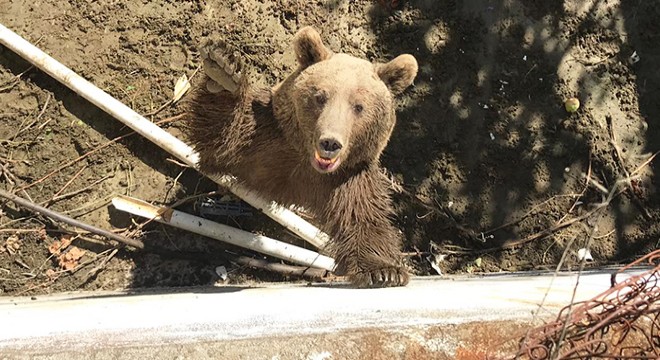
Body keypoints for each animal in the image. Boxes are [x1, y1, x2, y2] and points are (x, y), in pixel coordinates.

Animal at [187, 26, 418, 288]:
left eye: (359, 106)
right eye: (320, 97)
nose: (330, 143)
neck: (307, 163)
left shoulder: (348, 179)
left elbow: (364, 219)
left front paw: (384, 271)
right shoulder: (265, 140)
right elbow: (221, 136)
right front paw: (224, 68)